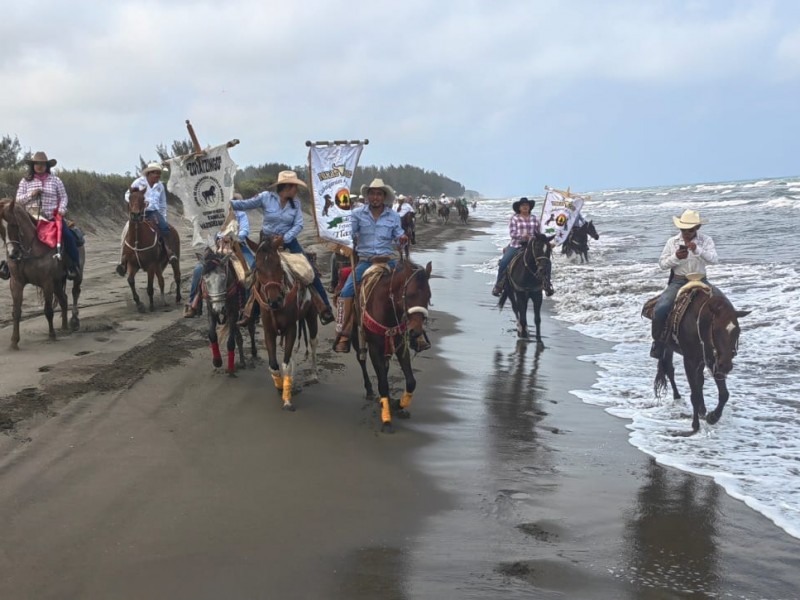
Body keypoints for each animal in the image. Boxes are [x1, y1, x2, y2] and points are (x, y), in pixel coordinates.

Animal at [0, 197, 85, 350]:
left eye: (14, 224)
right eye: (0, 228)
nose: (12, 254)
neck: (28, 252)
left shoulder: (46, 282)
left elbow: (48, 310)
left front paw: (51, 335)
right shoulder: (16, 282)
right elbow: (16, 312)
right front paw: (14, 341)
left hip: (76, 275)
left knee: (75, 292)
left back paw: (74, 321)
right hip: (57, 282)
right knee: (64, 299)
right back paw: (64, 327)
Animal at [199, 248, 256, 376]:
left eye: (223, 278)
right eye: (205, 278)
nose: (219, 308)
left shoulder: (232, 313)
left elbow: (230, 342)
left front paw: (230, 368)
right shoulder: (211, 311)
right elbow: (212, 335)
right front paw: (217, 361)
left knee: (251, 329)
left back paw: (254, 352)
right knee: (238, 336)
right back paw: (242, 361)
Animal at [248, 232, 318, 410]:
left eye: (278, 265)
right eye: (258, 268)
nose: (275, 301)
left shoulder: (291, 328)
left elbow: (285, 363)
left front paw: (287, 398)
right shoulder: (269, 332)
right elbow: (274, 365)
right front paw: (280, 386)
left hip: (311, 315)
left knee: (313, 342)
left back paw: (314, 374)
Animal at [352, 258, 434, 432]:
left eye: (428, 296)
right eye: (410, 294)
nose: (415, 332)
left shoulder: (401, 345)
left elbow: (411, 381)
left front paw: (398, 405)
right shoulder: (374, 348)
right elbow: (382, 383)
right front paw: (386, 419)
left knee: (385, 366)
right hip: (356, 335)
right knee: (361, 359)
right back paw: (369, 390)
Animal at [644, 278, 752, 434]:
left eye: (737, 331)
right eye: (716, 330)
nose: (726, 366)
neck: (699, 322)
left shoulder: (713, 359)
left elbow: (723, 394)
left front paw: (713, 417)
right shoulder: (690, 360)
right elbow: (694, 394)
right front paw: (695, 425)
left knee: (698, 380)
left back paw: (702, 409)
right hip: (667, 347)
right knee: (669, 369)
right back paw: (678, 397)